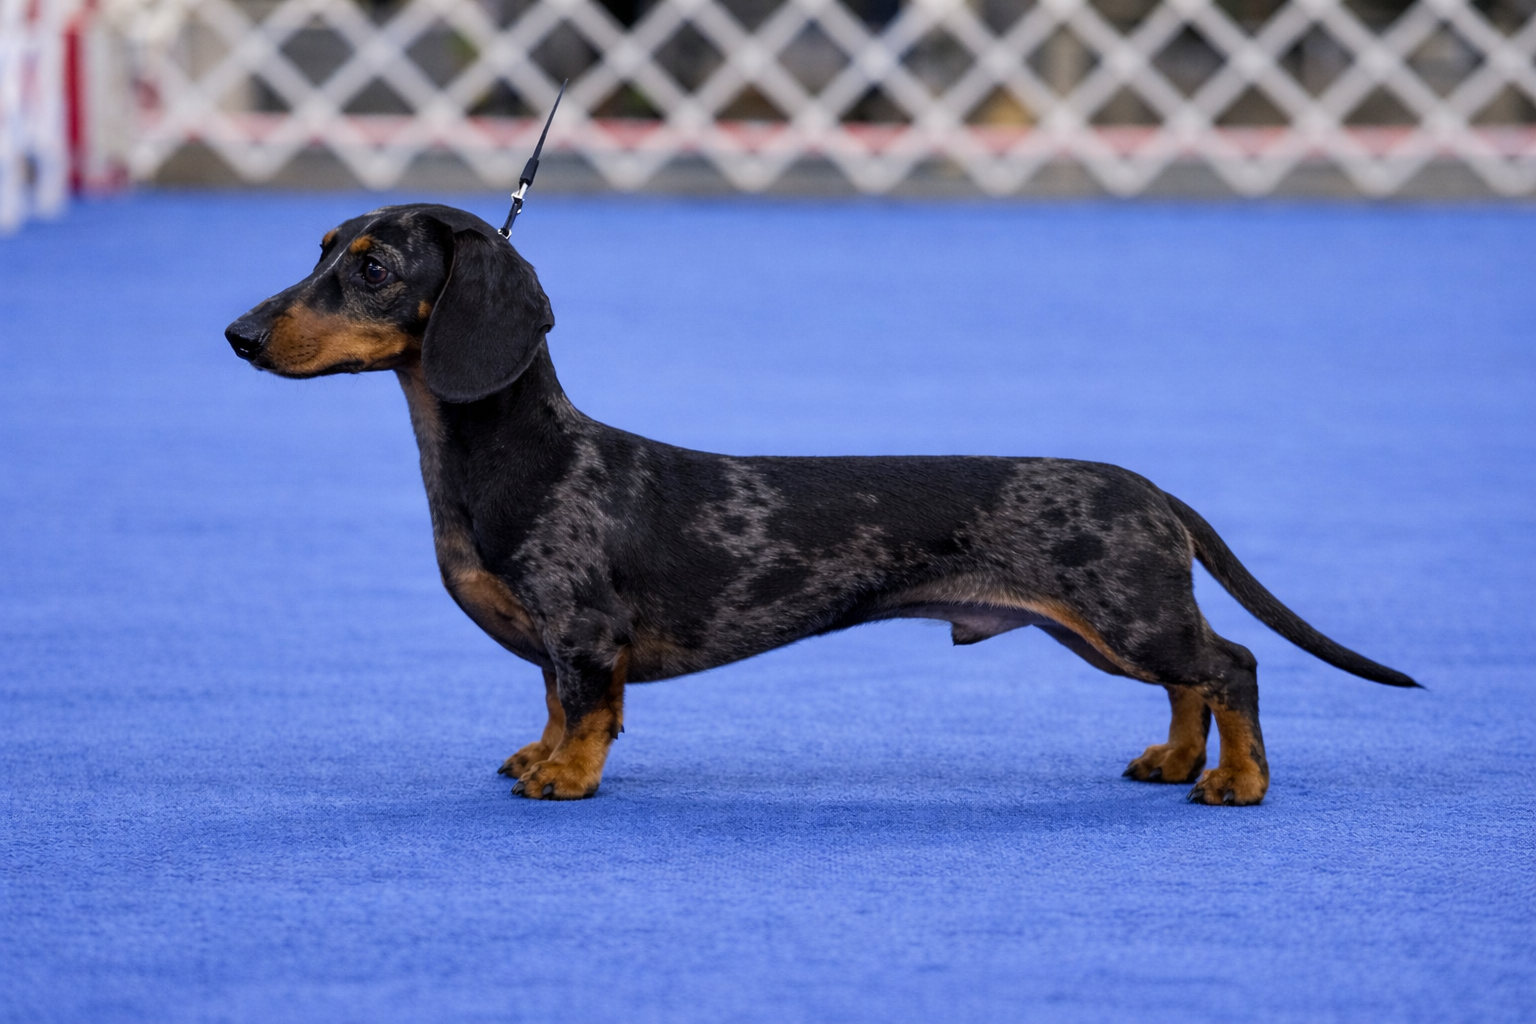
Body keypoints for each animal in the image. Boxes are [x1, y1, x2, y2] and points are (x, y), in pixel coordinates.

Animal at [225, 203, 1417, 806]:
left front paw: (563, 777)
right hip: (1108, 631)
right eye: (320, 250)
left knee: (1231, 666)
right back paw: (1175, 762)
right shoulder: (556, 641)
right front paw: (537, 752)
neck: (512, 458)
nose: (237, 334)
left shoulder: (585, 631)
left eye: (372, 267)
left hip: (1127, 614)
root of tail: (1152, 488)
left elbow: (589, 710)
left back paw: (1238, 783)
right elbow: (555, 701)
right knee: (1190, 686)